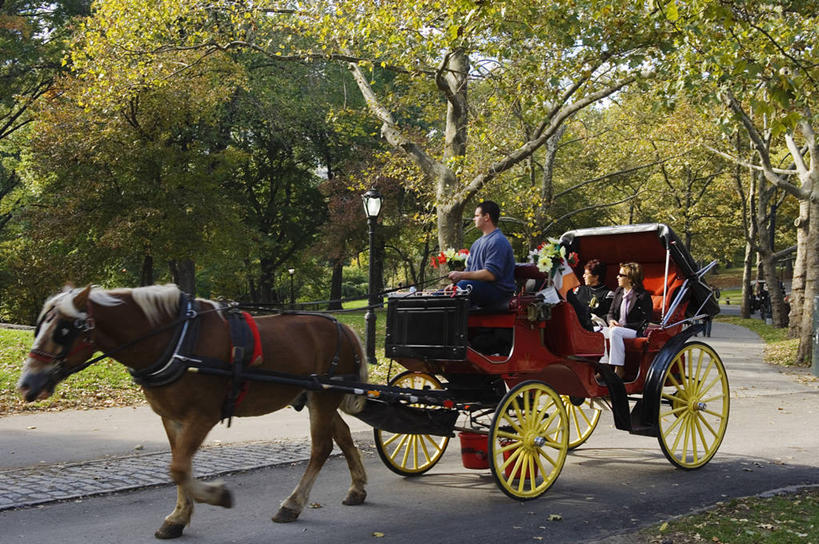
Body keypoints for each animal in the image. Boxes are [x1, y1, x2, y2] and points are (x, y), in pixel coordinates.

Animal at [16, 284, 368, 540]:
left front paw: (215, 496)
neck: (174, 340)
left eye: (64, 330)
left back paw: (292, 504)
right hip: (315, 397)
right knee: (343, 435)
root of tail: (344, 328)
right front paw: (179, 517)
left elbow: (179, 467)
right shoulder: (171, 417)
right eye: (39, 327)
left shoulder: (203, 415)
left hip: (324, 396)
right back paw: (357, 488)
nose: (26, 384)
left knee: (321, 447)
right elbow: (179, 466)